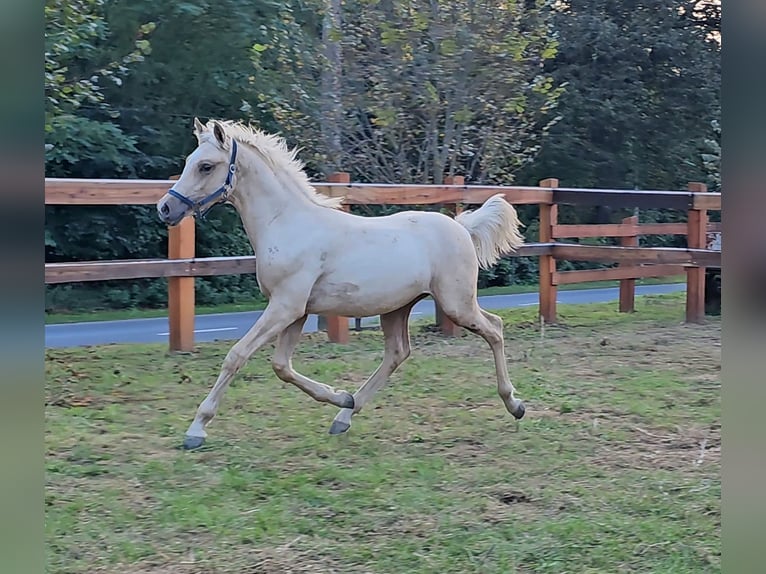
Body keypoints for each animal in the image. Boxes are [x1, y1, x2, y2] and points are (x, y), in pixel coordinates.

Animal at [156, 119, 528, 452]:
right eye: (189, 162)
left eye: (205, 166)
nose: (166, 208)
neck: (287, 225)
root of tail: (462, 227)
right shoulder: (296, 311)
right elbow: (282, 366)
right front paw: (340, 396)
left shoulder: (286, 305)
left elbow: (237, 355)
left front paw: (196, 430)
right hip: (397, 307)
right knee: (398, 353)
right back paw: (345, 414)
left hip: (456, 303)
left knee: (494, 328)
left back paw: (515, 404)